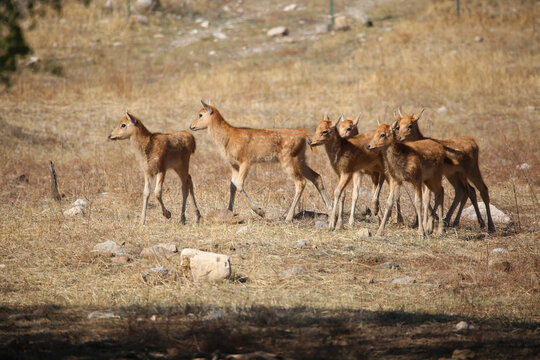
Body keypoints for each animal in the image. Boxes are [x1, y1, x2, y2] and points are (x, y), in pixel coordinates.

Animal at [192, 100, 332, 221]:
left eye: (200, 114)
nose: (191, 126)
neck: (228, 137)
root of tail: (304, 134)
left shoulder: (246, 161)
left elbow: (239, 184)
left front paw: (260, 211)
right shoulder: (234, 165)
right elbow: (232, 186)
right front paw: (229, 211)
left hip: (288, 160)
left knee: (300, 182)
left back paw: (288, 217)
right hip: (301, 159)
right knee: (316, 177)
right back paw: (331, 211)